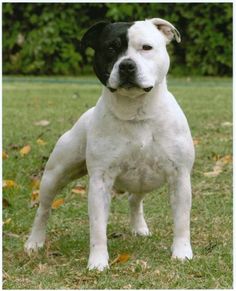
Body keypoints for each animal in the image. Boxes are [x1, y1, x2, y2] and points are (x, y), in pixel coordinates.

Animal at [24, 19, 195, 272]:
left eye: (146, 47)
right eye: (111, 49)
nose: (127, 65)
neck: (136, 112)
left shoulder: (180, 176)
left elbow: (182, 221)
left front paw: (182, 253)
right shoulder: (99, 182)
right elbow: (97, 228)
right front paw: (97, 262)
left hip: (146, 179)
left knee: (135, 199)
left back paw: (139, 228)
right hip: (54, 175)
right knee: (43, 209)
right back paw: (34, 241)